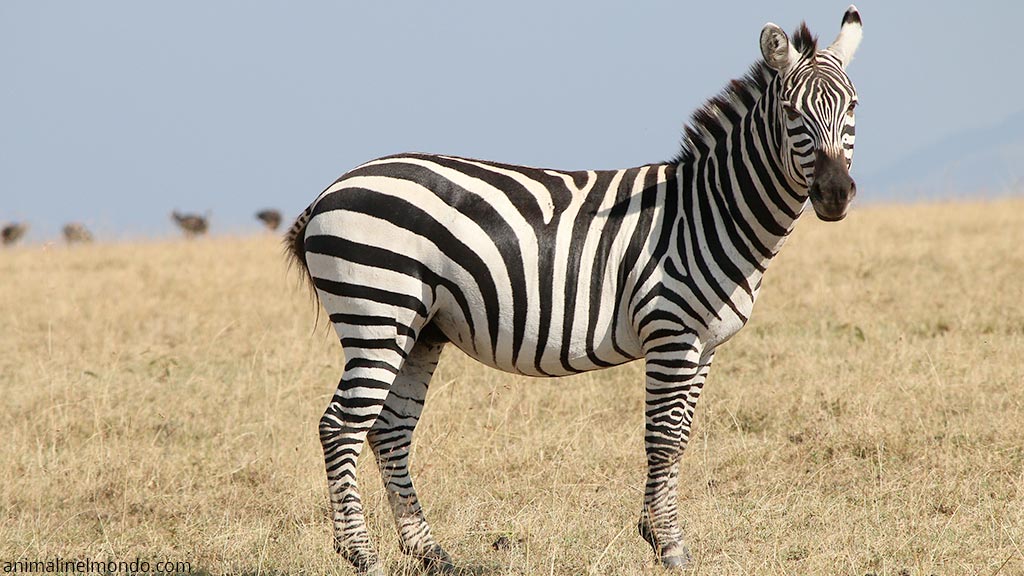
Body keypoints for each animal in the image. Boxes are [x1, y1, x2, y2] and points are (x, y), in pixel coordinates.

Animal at [285, 7, 862, 574]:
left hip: (421, 328)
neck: (709, 211)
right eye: (791, 113)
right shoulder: (671, 333)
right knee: (340, 426)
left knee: (389, 430)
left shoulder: (705, 346)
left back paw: (431, 554)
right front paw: (669, 546)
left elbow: (679, 440)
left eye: (853, 106)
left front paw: (657, 533)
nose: (834, 195)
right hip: (379, 315)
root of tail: (332, 189)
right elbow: (663, 439)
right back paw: (361, 555)